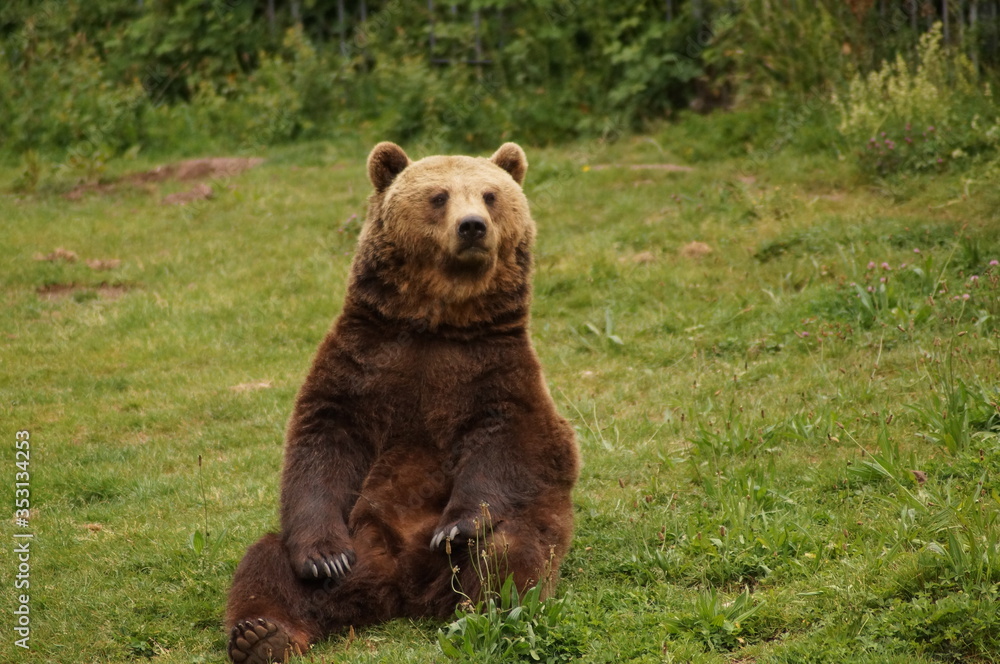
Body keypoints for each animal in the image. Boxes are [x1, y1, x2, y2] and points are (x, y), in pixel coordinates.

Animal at [225, 142, 580, 663]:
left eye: (491, 195)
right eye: (439, 196)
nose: (472, 225)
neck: (436, 323)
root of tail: (399, 590)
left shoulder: (493, 370)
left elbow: (509, 446)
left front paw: (454, 528)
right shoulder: (364, 360)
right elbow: (323, 441)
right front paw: (325, 557)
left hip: (485, 554)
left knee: (512, 552)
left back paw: (490, 616)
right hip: (358, 540)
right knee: (267, 564)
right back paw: (261, 634)